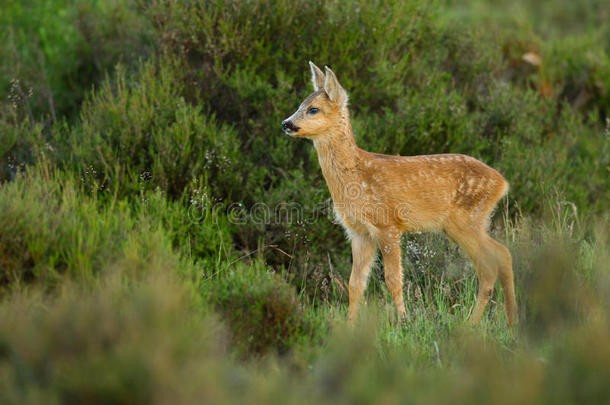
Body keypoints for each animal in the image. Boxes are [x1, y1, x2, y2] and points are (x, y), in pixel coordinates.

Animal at [280, 60, 512, 326]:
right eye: (300, 104)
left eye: (313, 109)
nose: (286, 124)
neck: (357, 177)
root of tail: (502, 182)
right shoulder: (359, 232)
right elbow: (355, 283)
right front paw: (349, 326)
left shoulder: (387, 224)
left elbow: (393, 279)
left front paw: (404, 321)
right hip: (470, 222)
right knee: (503, 254)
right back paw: (510, 320)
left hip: (466, 220)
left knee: (489, 265)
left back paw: (473, 323)